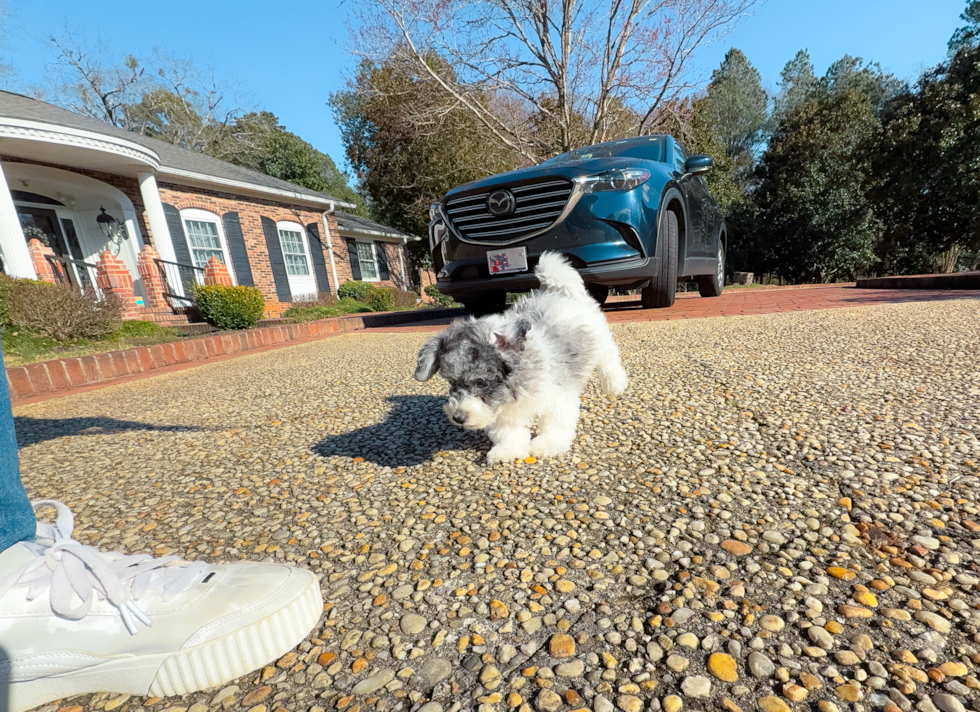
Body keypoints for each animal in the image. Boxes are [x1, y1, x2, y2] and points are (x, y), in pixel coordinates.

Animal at [414, 249, 628, 462]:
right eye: (451, 382)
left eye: (481, 382)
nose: (457, 418)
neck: (515, 386)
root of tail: (554, 290)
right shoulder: (503, 411)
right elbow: (509, 431)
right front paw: (508, 450)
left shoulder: (558, 397)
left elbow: (555, 424)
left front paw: (547, 444)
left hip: (600, 340)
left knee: (609, 360)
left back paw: (615, 384)